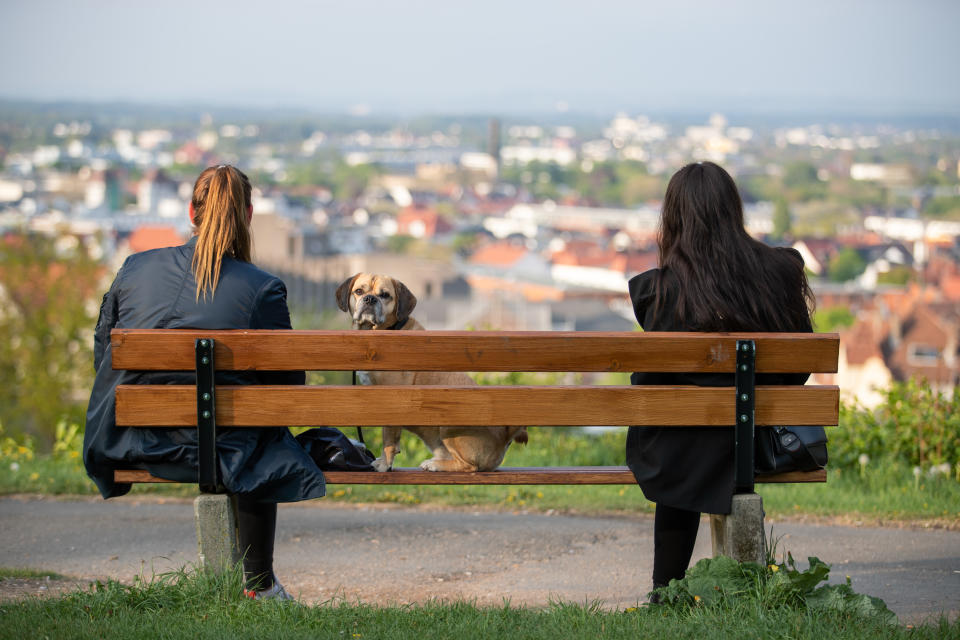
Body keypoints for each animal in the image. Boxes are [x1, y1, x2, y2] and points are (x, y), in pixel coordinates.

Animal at [336, 272, 532, 472]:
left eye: (385, 295)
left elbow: (389, 440)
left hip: (448, 427)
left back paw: (435, 465)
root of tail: (504, 438)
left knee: (469, 466)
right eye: (359, 291)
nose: (370, 299)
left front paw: (384, 465)